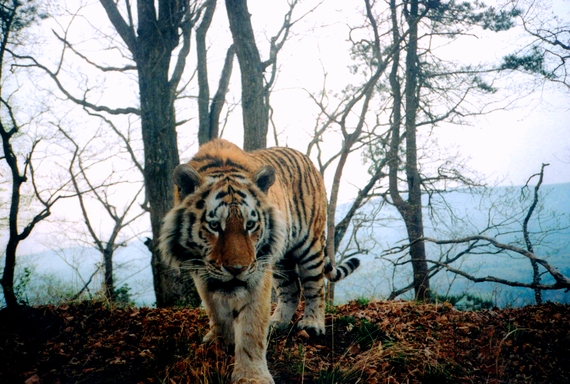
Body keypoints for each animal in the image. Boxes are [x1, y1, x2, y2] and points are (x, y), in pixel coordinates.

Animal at [158, 139, 358, 384]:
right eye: (214, 226)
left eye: (250, 225)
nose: (237, 269)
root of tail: (304, 156)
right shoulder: (202, 271)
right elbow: (215, 310)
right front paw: (219, 342)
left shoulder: (257, 273)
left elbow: (251, 328)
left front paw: (252, 376)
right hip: (281, 258)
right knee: (292, 288)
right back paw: (278, 322)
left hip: (308, 245)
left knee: (314, 287)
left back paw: (312, 324)